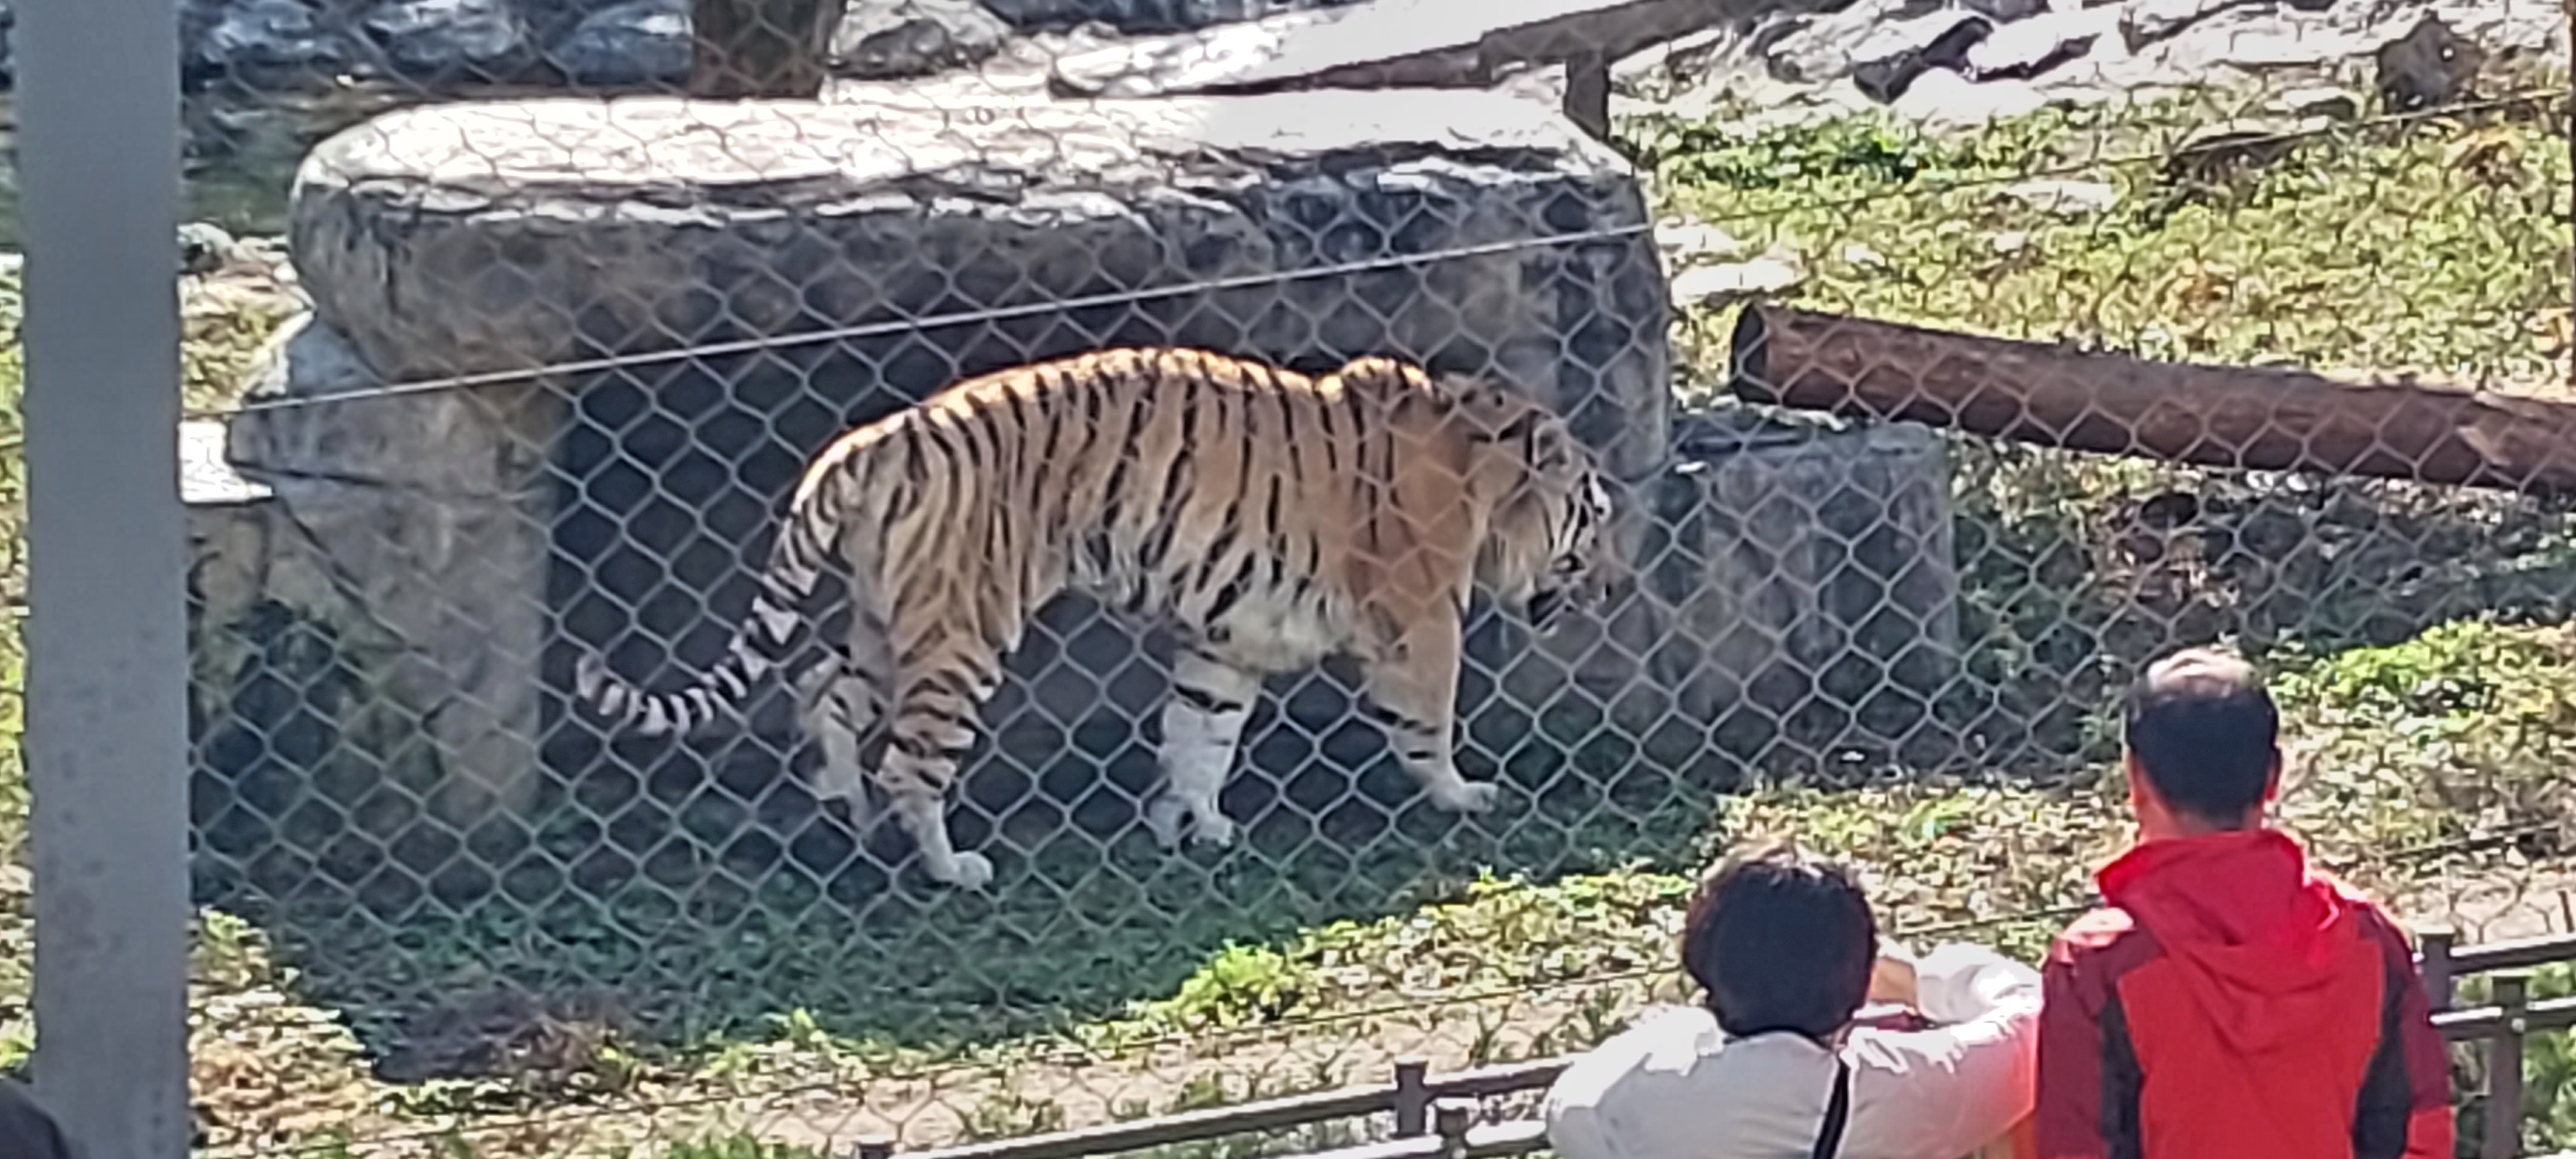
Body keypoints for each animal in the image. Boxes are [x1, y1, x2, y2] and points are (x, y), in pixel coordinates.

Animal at [570, 346, 1621, 891]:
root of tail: (878, 439)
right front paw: (1461, 794)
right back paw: (951, 866)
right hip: (962, 629)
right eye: (1597, 518)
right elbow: (1430, 718)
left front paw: (1194, 822)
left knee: (821, 689)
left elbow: (1200, 735)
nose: (1615, 584)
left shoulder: (1224, 643)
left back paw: (843, 805)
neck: (1486, 473)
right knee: (910, 760)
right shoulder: (1420, 615)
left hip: (887, 618)